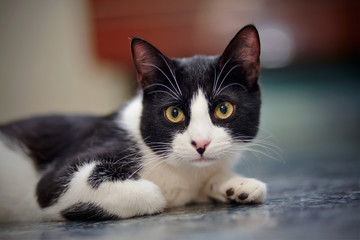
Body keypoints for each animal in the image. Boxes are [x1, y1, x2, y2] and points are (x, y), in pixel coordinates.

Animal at [0, 24, 268, 221]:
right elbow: (152, 194)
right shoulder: (60, 176)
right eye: (174, 113)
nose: (201, 143)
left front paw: (236, 184)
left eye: (224, 109)